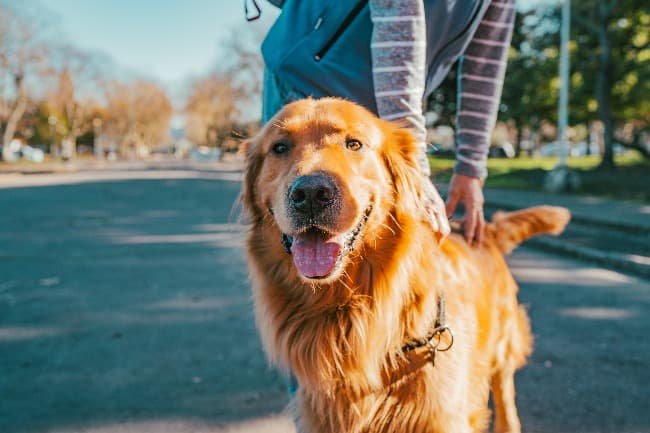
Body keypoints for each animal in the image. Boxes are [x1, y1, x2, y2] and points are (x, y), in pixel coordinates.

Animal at [242, 98, 568, 432]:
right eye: (280, 147)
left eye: (354, 144)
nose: (310, 194)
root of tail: (483, 231)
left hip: (502, 345)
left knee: (504, 391)